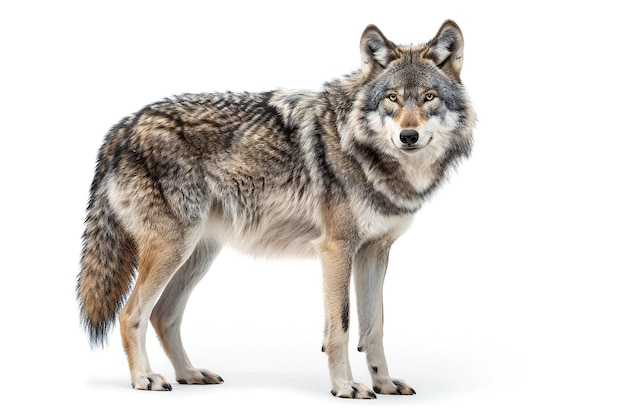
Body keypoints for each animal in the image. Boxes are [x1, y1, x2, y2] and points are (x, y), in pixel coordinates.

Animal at [75, 21, 472, 398]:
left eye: (429, 98)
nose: (408, 137)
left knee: (163, 314)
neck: (363, 149)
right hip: (174, 249)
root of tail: (122, 128)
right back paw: (144, 378)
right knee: (131, 314)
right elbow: (341, 327)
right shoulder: (336, 250)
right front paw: (345, 386)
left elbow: (374, 328)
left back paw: (189, 373)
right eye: (392, 98)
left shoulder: (375, 252)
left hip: (197, 254)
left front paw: (384, 383)